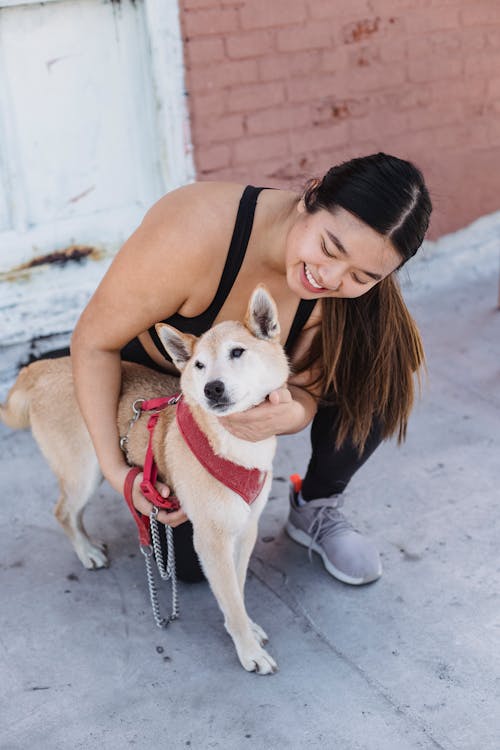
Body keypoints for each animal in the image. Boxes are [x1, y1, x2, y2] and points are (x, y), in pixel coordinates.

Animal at [0, 286, 290, 676]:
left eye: (237, 352)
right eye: (198, 365)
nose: (211, 388)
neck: (236, 442)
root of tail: (41, 367)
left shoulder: (245, 529)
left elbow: (239, 589)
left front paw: (248, 626)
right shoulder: (211, 541)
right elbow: (229, 596)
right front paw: (247, 648)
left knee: (72, 512)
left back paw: (89, 545)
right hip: (86, 470)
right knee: (63, 511)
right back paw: (86, 551)